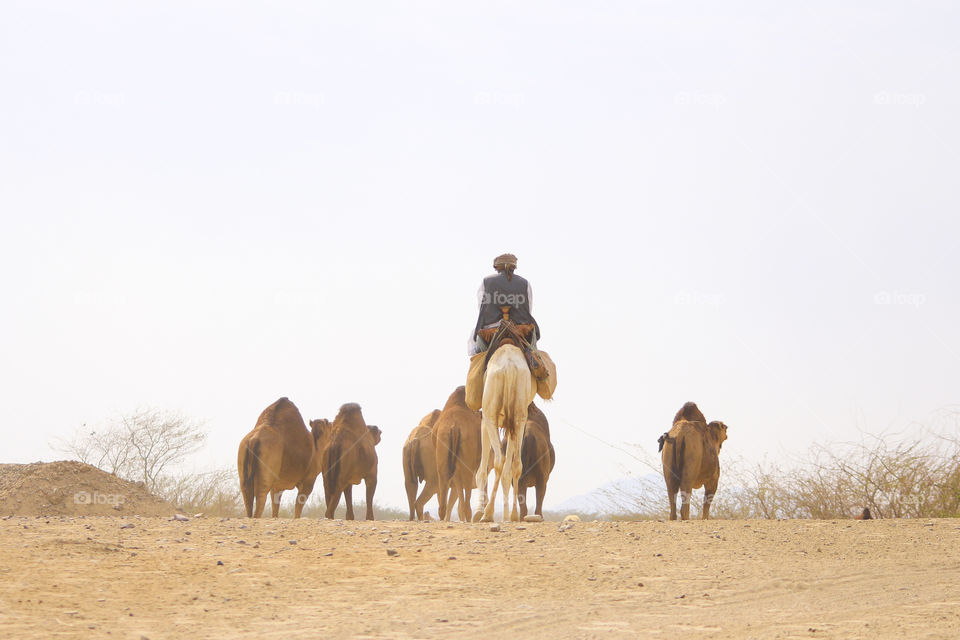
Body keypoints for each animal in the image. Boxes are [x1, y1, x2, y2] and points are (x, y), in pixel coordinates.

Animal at [474, 344, 536, 520]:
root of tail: (509, 367)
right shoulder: (510, 424)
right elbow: (508, 472)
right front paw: (507, 516)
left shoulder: (484, 420)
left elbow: (481, 471)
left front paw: (478, 511)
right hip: (519, 415)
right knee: (516, 464)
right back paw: (514, 515)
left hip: (490, 413)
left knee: (499, 460)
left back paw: (487, 514)